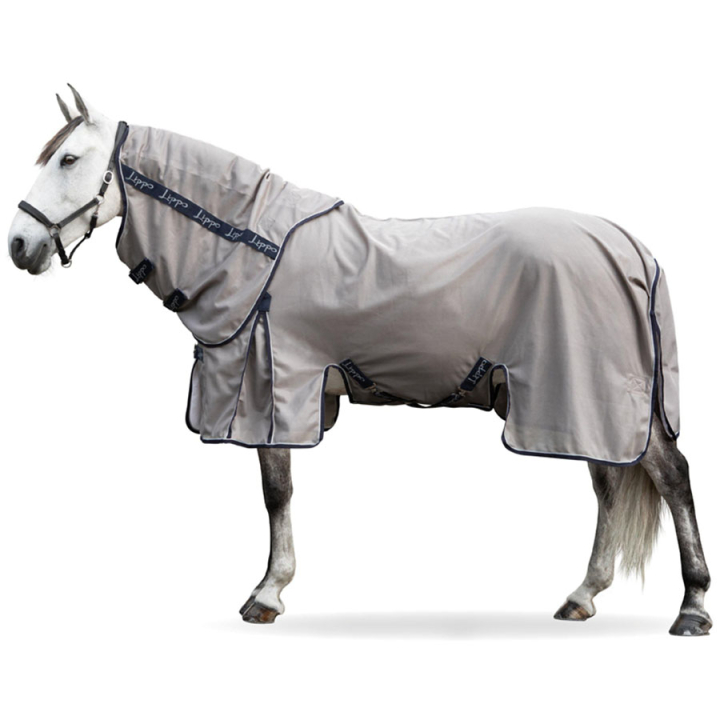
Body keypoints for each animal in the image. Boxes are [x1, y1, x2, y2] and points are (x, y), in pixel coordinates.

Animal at [7, 87, 712, 635]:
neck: (256, 251)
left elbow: (276, 493)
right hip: (586, 404)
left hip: (589, 394)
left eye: (68, 158)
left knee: (670, 477)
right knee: (610, 485)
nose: (19, 244)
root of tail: (630, 246)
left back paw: (693, 607)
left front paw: (267, 592)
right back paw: (583, 596)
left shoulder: (277, 391)